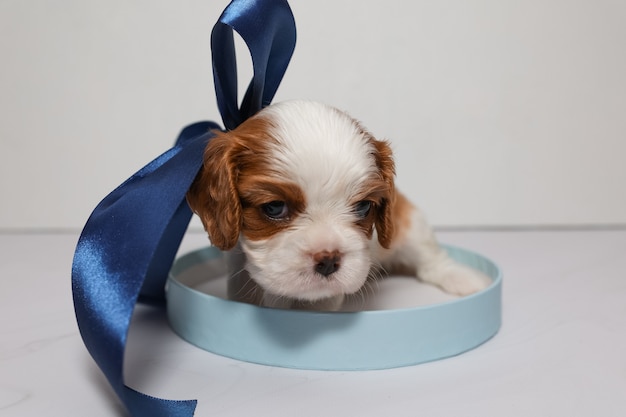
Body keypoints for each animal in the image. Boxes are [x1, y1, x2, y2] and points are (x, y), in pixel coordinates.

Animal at [185, 100, 488, 308]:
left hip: (411, 224)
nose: (329, 259)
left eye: (363, 207)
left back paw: (463, 279)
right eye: (274, 208)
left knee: (430, 260)